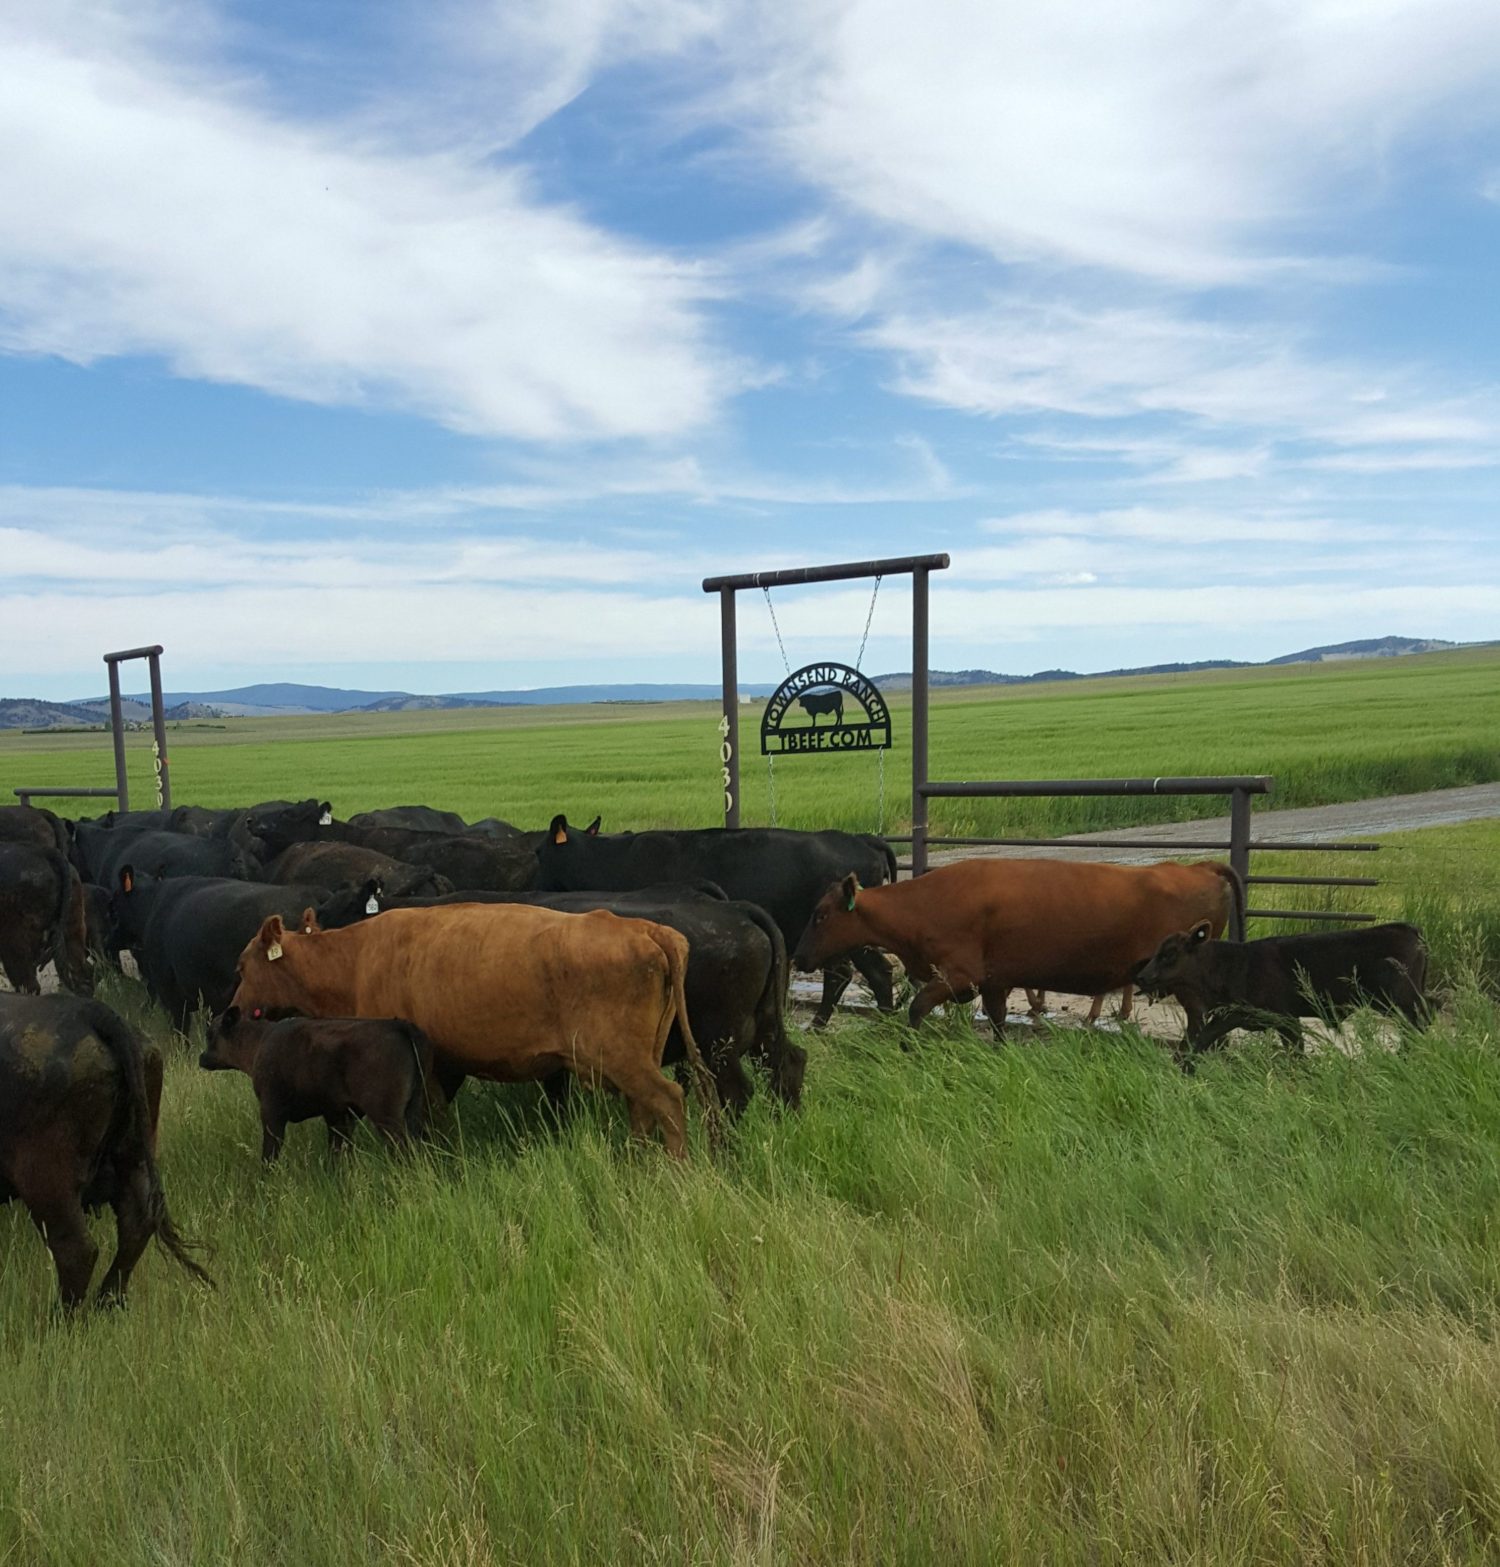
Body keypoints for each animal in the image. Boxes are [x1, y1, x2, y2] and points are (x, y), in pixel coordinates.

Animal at [0, 992, 211, 1309]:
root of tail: (88, 1010)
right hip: (133, 1156)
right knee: (137, 1223)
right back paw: (109, 1302)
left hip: (47, 1183)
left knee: (76, 1250)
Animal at [201, 1007, 436, 1161]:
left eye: (210, 1034)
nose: (201, 1057)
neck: (260, 1040)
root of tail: (398, 1024)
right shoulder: (338, 1114)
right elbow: (337, 1152)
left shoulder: (271, 1111)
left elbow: (270, 1153)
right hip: (413, 1110)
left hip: (387, 1118)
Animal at [229, 903, 714, 1157]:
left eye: (241, 966)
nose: (233, 1010)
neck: (354, 959)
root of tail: (642, 927)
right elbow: (439, 1115)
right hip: (636, 1058)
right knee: (643, 1109)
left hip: (623, 1058)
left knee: (668, 1100)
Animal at [793, 857, 1242, 1036]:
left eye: (820, 915)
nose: (798, 956)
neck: (927, 902)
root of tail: (1198, 866)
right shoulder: (994, 982)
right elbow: (997, 1023)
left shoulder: (958, 975)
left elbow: (917, 1008)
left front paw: (908, 1047)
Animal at [1134, 920, 1430, 1053]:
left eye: (1170, 954)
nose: (1141, 977)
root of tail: (1408, 929)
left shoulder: (1282, 1018)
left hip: (1401, 1000)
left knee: (1418, 1024)